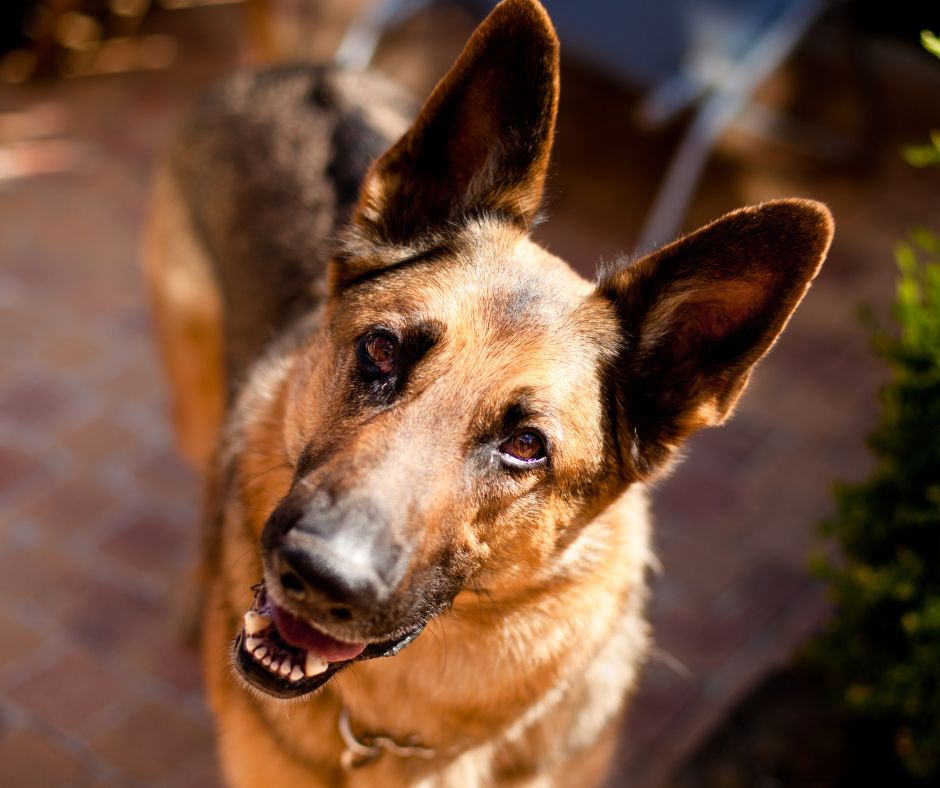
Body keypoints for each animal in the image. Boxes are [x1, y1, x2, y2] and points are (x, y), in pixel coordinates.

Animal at [143, 0, 832, 784]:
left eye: (527, 445)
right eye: (381, 350)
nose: (320, 577)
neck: (398, 741)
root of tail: (300, 69)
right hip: (195, 392)